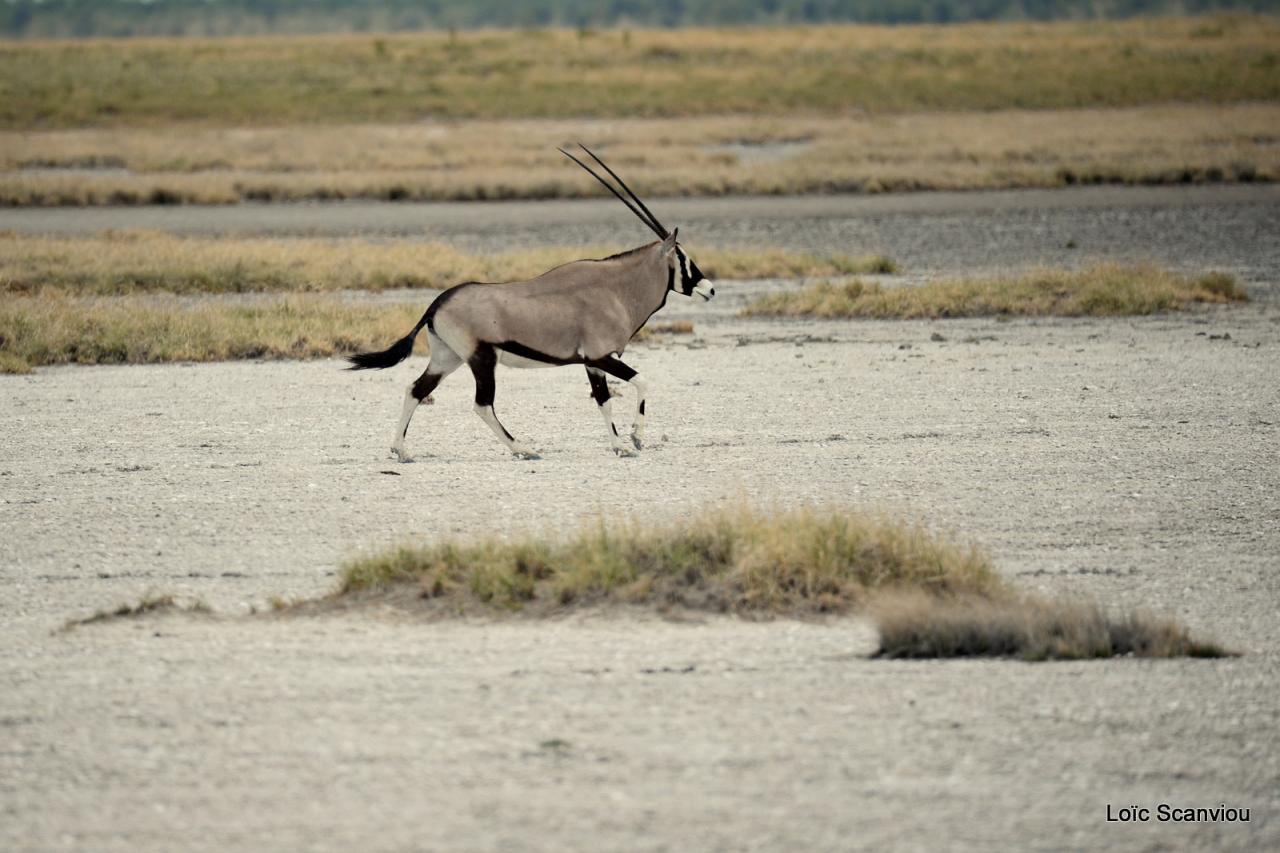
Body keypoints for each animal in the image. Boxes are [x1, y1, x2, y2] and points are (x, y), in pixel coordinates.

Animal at [345, 147, 716, 466]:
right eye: (684, 258)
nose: (710, 289)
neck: (616, 289)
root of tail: (439, 302)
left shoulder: (592, 363)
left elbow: (603, 401)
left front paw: (620, 447)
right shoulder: (601, 356)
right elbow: (641, 382)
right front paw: (635, 439)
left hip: (447, 358)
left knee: (416, 389)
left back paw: (401, 450)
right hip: (482, 359)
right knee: (482, 405)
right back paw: (523, 449)